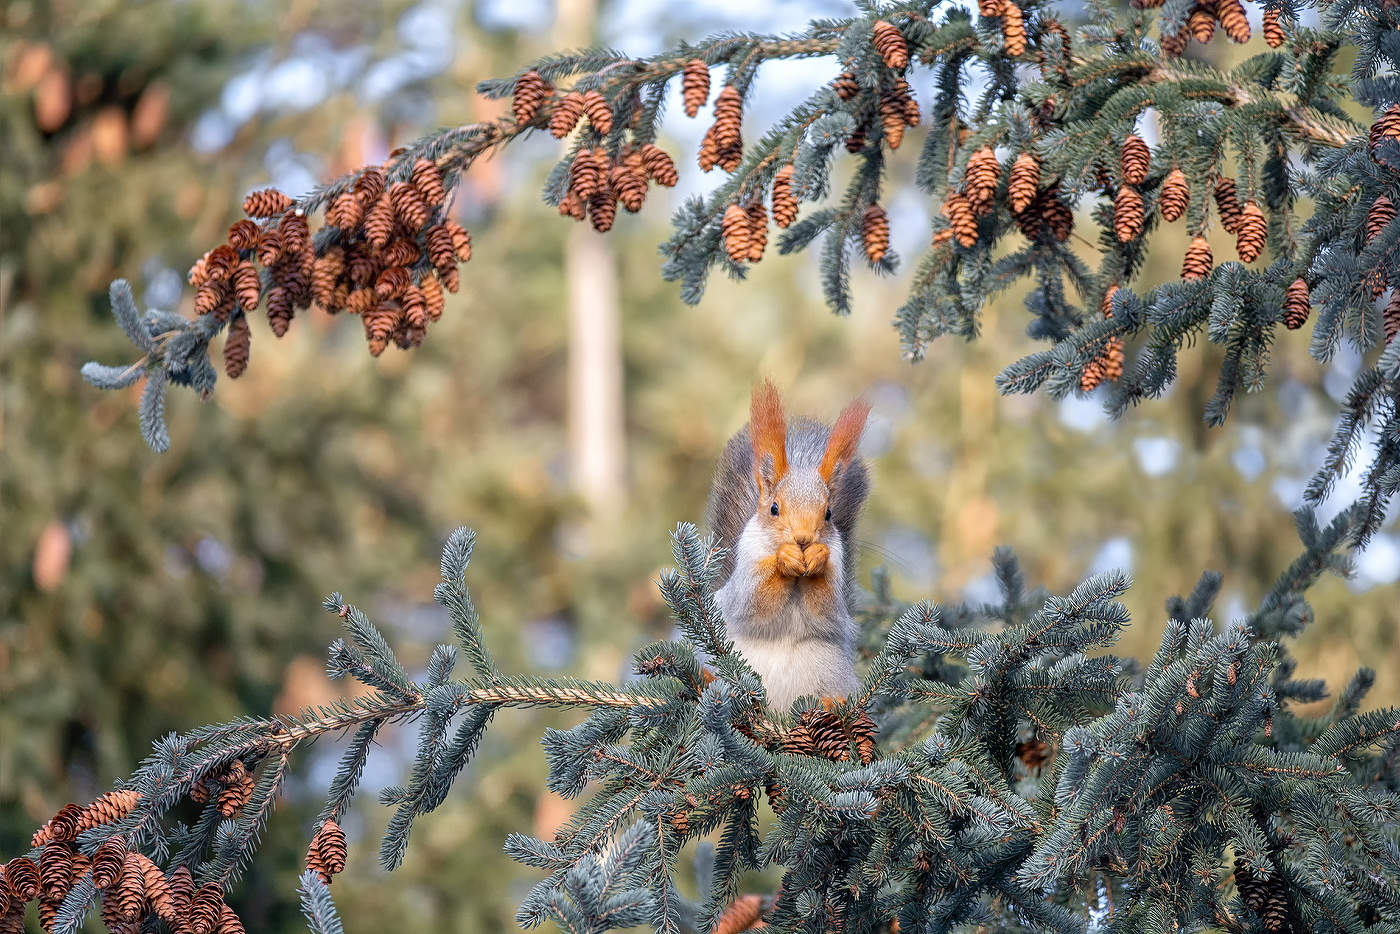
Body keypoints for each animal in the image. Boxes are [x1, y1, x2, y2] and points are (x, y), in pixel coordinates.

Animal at [705, 380, 868, 708]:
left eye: (828, 513)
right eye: (774, 509)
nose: (803, 539)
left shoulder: (835, 590)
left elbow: (826, 608)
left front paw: (816, 557)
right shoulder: (744, 579)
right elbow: (754, 600)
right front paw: (785, 558)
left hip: (829, 668)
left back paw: (831, 705)